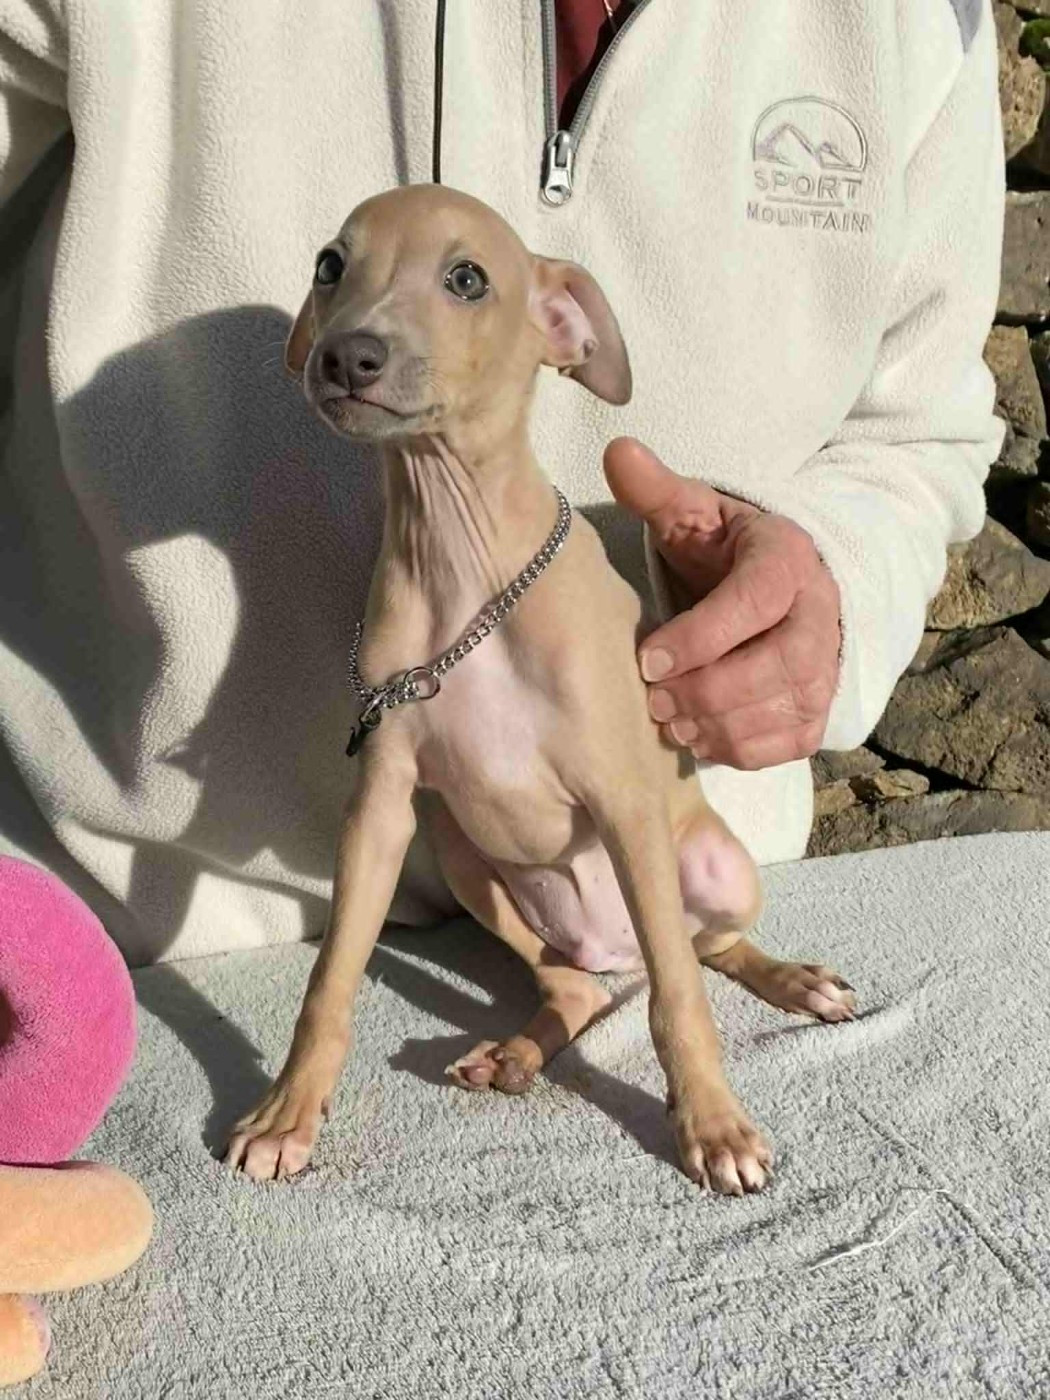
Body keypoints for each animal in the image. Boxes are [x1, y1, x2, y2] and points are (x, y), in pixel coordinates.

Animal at [224, 184, 854, 1195]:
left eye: (467, 278)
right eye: (330, 264)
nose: (346, 356)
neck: (461, 567)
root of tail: (615, 945)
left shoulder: (625, 799)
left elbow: (680, 1001)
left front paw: (713, 1126)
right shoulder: (382, 808)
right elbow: (331, 978)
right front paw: (288, 1110)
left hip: (713, 867)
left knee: (698, 951)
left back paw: (794, 980)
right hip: (468, 860)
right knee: (577, 985)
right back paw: (515, 1051)